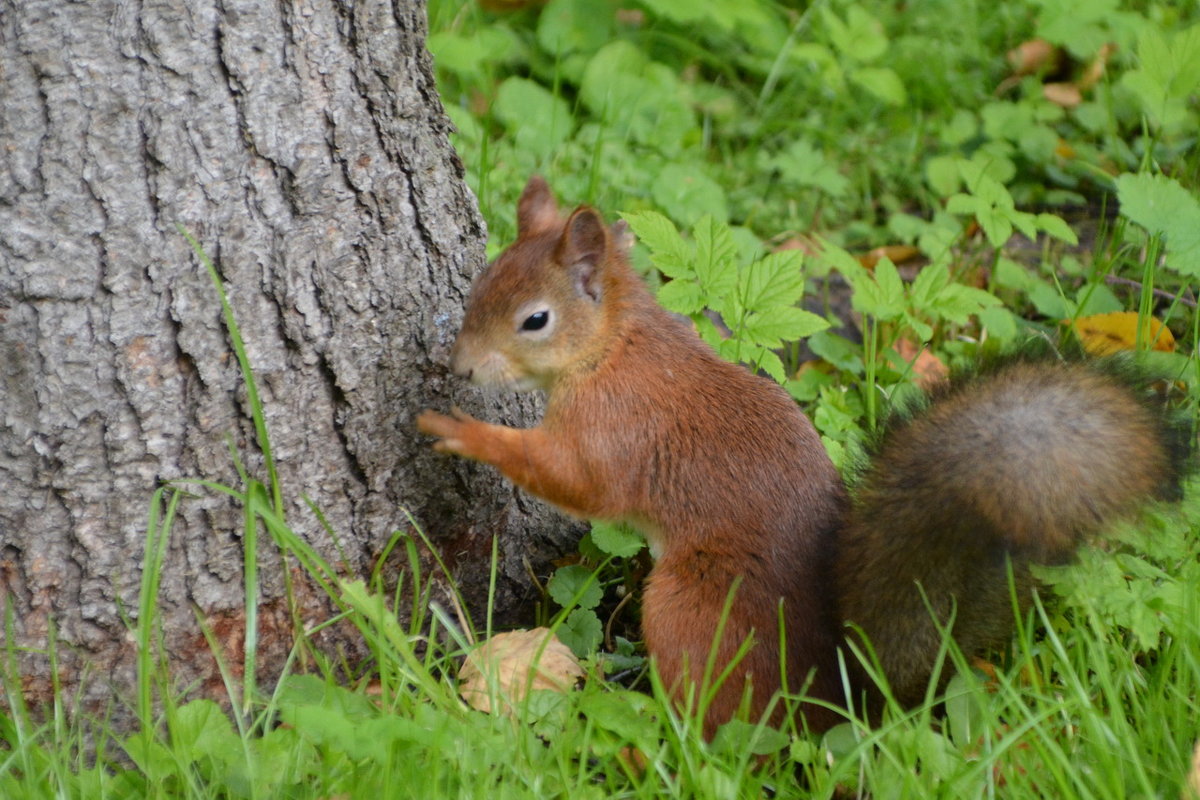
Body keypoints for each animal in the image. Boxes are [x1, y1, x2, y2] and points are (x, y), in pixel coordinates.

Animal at [417, 176, 1185, 738]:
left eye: (535, 320)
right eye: (481, 283)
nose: (458, 366)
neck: (613, 346)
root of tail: (835, 701)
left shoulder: (615, 429)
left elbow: (573, 482)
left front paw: (461, 431)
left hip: (690, 610)